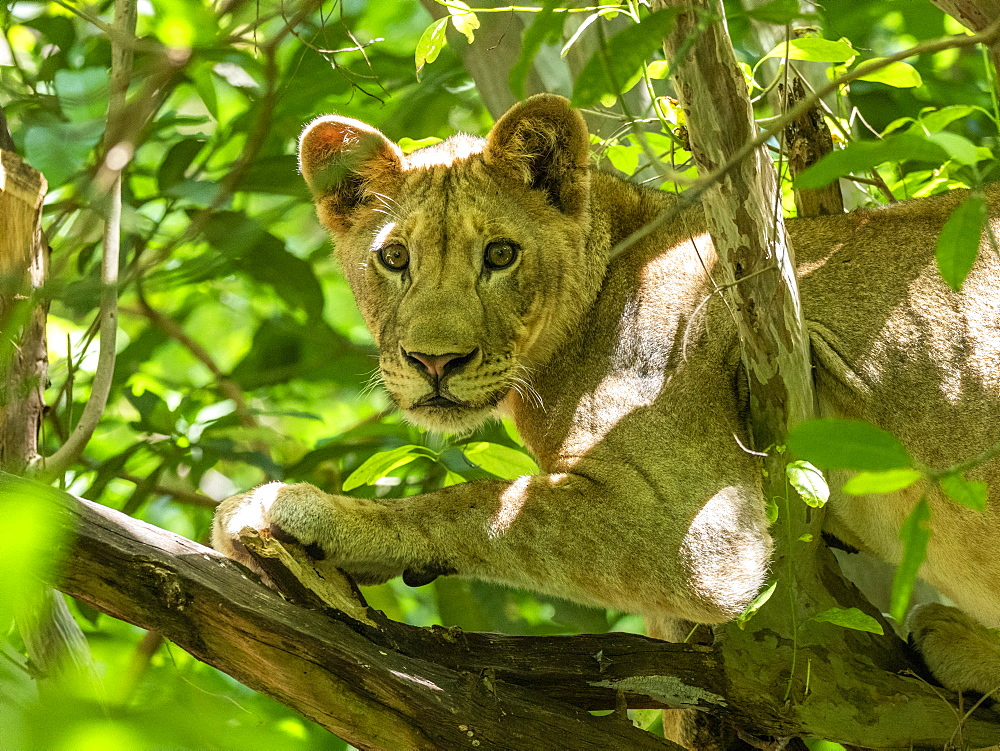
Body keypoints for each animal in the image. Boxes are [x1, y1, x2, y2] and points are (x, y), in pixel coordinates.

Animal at [215, 94, 1000, 724]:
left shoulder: (701, 537)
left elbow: (484, 504)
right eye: (395, 258)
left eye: (500, 254)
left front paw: (303, 512)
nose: (435, 363)